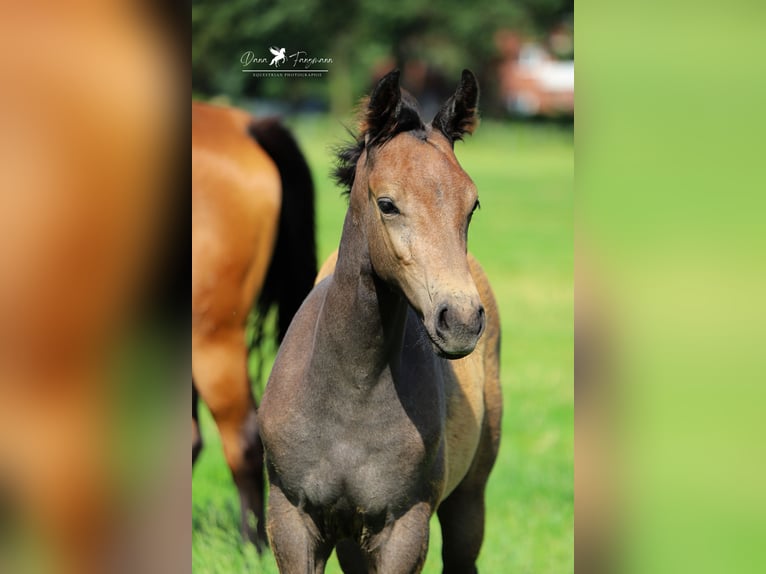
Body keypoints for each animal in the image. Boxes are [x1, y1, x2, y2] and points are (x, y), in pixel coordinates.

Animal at [260, 70, 504, 572]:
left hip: (468, 498)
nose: (461, 319)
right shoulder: (290, 519)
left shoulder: (404, 528)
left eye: (471, 205)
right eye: (387, 204)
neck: (351, 391)